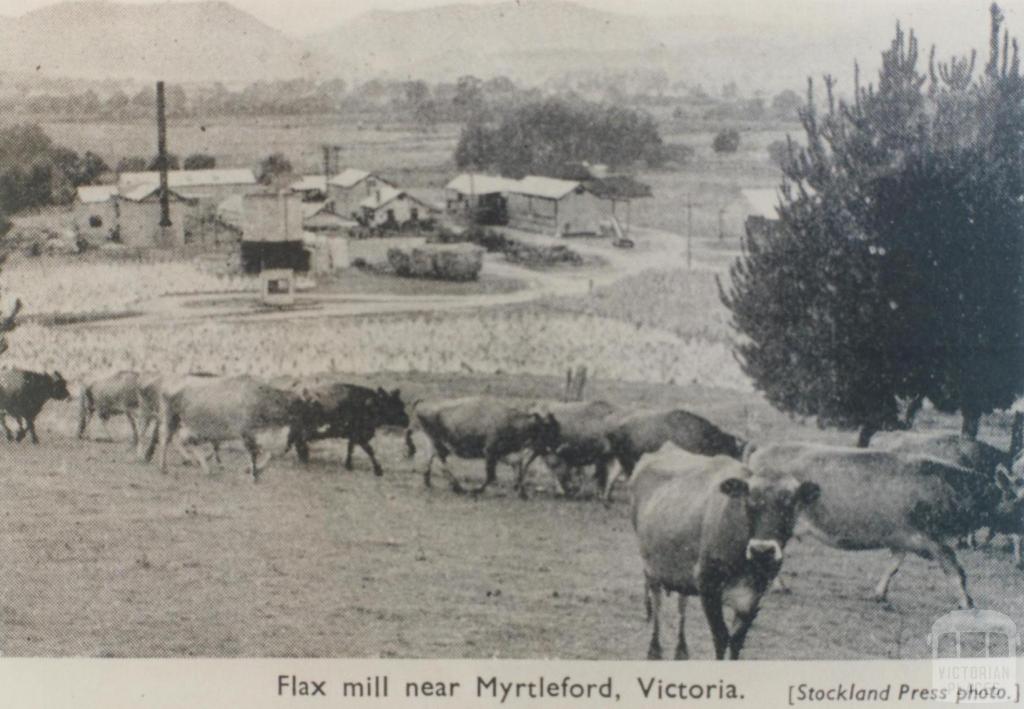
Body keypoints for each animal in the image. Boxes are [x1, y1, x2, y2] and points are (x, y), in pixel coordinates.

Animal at [407, 395, 561, 495]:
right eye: (547, 427)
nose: (555, 447)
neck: (511, 420)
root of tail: (424, 402)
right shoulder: (490, 452)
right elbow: (491, 475)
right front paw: (477, 490)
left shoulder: (501, 454)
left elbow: (515, 466)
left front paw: (521, 491)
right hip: (438, 442)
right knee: (442, 463)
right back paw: (458, 488)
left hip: (432, 442)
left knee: (430, 459)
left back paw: (429, 483)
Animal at [602, 407, 749, 502]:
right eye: (731, 452)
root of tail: (615, 428)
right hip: (628, 462)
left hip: (622, 460)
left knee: (612, 475)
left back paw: (607, 500)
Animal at [626, 442, 819, 659]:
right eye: (749, 503)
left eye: (790, 505)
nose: (762, 550)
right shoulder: (708, 586)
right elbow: (721, 638)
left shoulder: (754, 597)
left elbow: (736, 641)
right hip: (650, 565)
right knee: (657, 602)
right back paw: (655, 650)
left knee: (682, 601)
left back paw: (681, 650)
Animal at [745, 442, 1024, 610]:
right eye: (1020, 501)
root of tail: (760, 451)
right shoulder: (933, 539)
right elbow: (956, 571)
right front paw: (967, 604)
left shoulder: (902, 538)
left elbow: (893, 566)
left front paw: (879, 593)